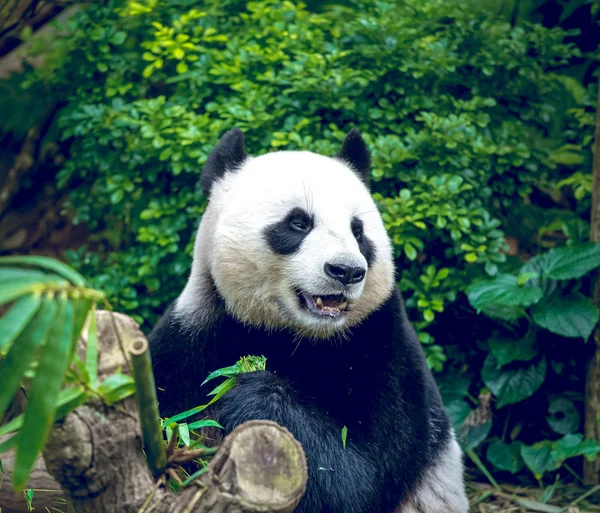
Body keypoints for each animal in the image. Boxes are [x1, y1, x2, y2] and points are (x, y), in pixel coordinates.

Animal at [149, 129, 468, 512]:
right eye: (298, 223)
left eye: (358, 231)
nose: (346, 271)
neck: (295, 335)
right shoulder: (195, 335)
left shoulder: (384, 349)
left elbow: (358, 480)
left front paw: (254, 394)